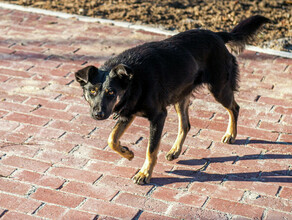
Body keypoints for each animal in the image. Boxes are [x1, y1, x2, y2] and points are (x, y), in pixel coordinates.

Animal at [74, 15, 270, 184]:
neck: (134, 79)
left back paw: (230, 134)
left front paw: (145, 174)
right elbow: (112, 139)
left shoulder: (158, 116)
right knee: (186, 125)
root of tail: (216, 35)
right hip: (180, 96)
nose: (98, 114)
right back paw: (175, 150)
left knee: (234, 108)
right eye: (92, 91)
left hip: (218, 89)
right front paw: (127, 153)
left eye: (111, 93)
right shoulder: (127, 112)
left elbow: (151, 149)